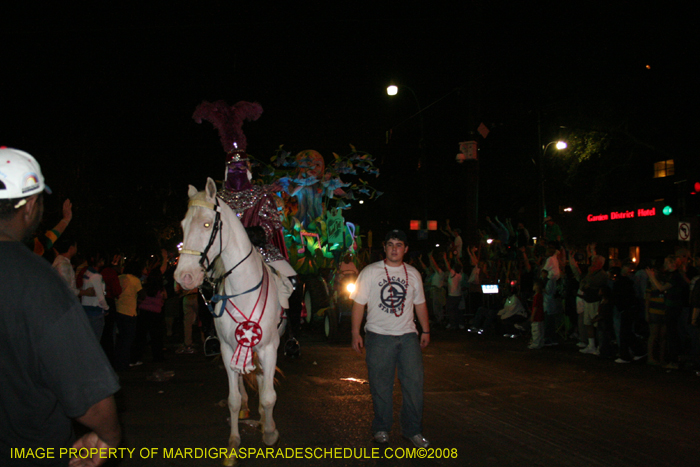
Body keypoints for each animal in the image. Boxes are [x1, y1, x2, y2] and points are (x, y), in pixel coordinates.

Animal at [175, 177, 282, 462]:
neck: (242, 288)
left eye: (207, 224)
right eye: (183, 226)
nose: (184, 277)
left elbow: (269, 396)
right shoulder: (228, 348)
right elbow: (233, 400)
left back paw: (266, 421)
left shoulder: (269, 348)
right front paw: (233, 444)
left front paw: (270, 432)